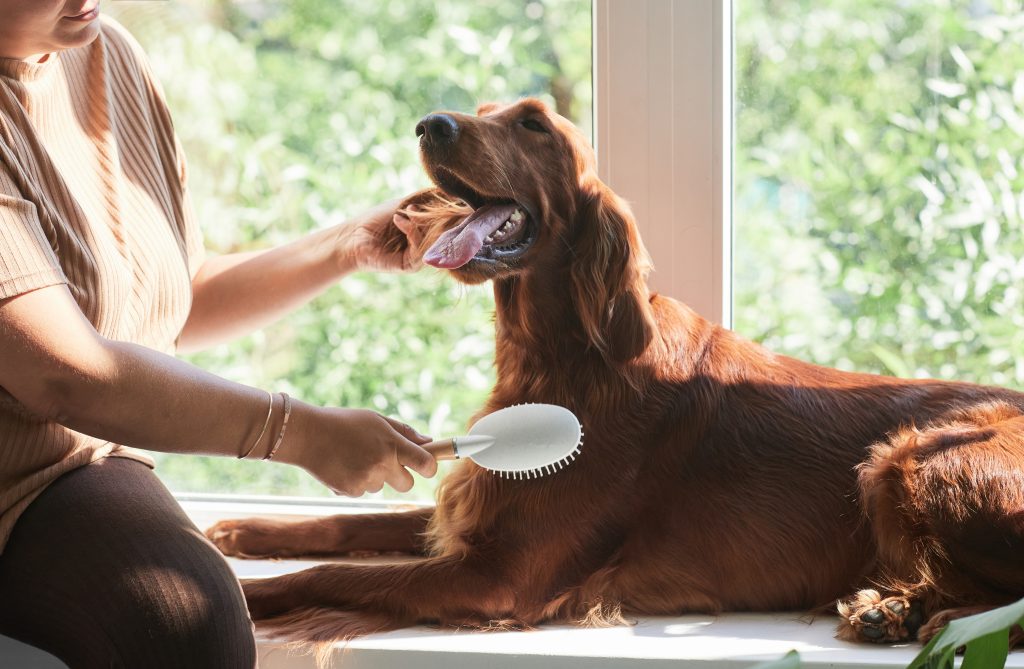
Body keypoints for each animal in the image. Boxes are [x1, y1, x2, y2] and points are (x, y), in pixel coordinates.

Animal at [205, 97, 1024, 647]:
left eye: (533, 124)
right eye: (480, 111)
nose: (430, 123)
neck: (562, 361)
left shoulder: (503, 575)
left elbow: (333, 574)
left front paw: (240, 596)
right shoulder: (475, 512)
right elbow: (355, 523)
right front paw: (247, 528)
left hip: (909, 458)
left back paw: (913, 612)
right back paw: (895, 607)